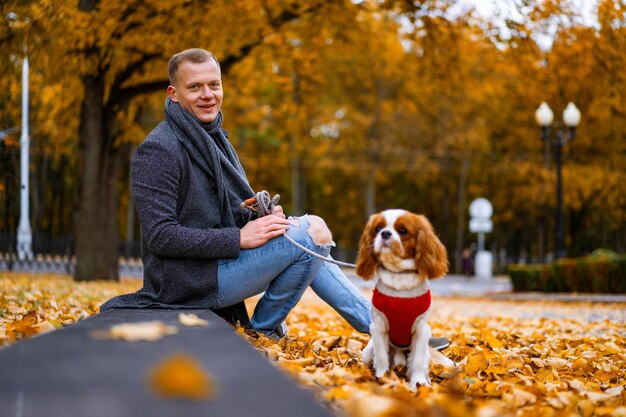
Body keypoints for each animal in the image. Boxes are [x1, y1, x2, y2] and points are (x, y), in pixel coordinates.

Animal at [354, 210, 450, 388]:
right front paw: (382, 377)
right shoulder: (378, 328)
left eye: (403, 230)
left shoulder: (421, 331)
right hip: (368, 352)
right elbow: (382, 358)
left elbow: (417, 361)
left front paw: (419, 383)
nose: (385, 233)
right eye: (377, 228)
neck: (399, 276)